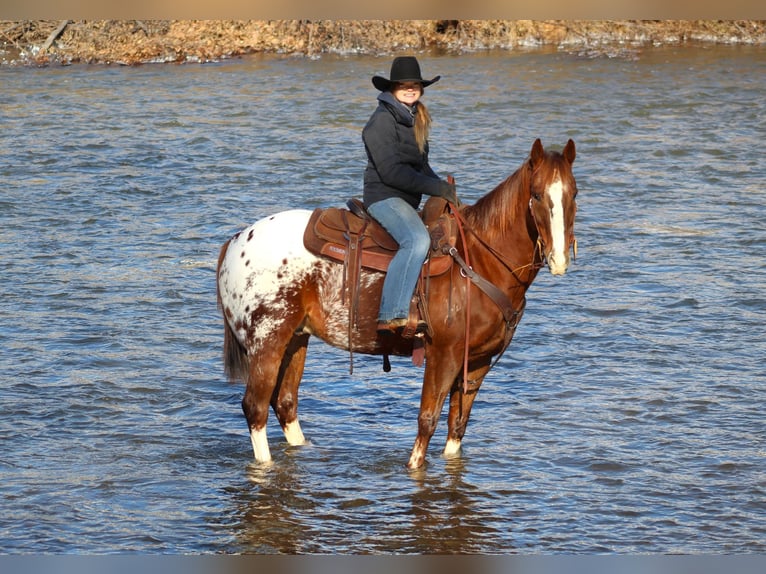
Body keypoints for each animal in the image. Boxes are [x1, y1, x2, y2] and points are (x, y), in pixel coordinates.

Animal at [214, 137, 576, 470]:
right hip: (267, 342)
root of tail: (236, 241)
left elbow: (456, 429)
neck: (479, 262)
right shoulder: (443, 355)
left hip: (295, 339)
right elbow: (427, 422)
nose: (558, 259)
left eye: (573, 194)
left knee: (285, 404)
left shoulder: (477, 362)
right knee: (255, 408)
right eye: (536, 195)